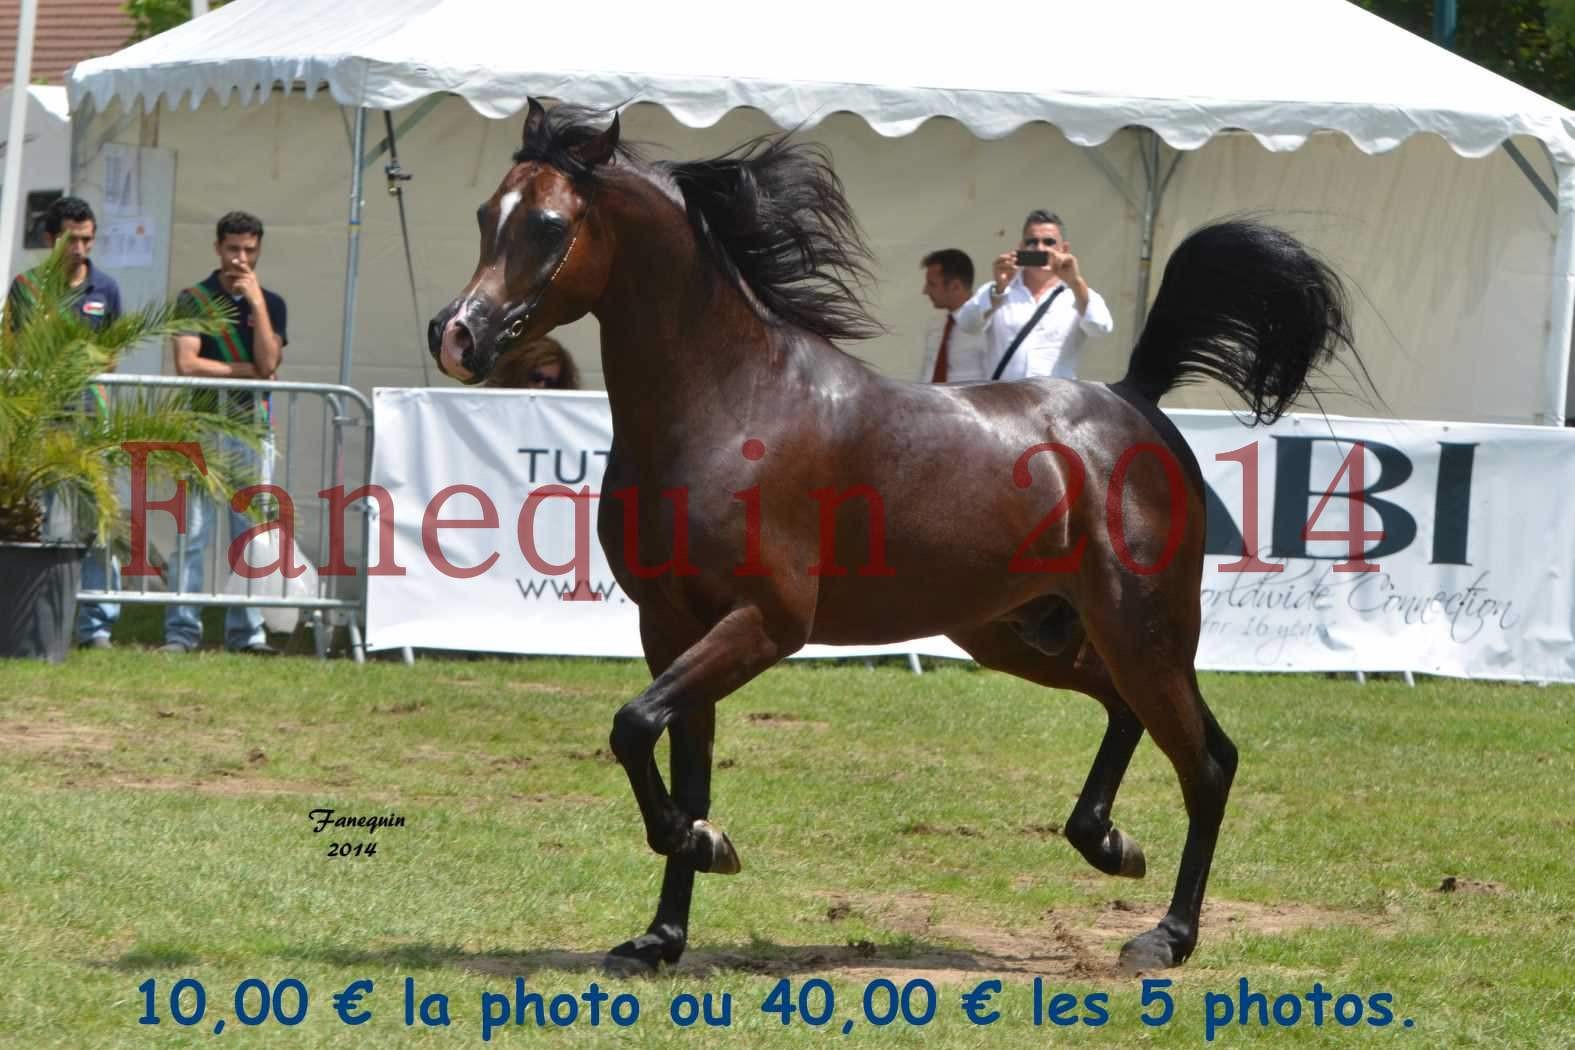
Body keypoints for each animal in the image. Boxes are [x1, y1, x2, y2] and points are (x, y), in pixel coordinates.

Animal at [431, 100, 1367, 976]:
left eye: (549, 224)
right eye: (483, 213)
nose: (458, 336)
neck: (730, 404)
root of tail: (1133, 397)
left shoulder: (764, 624)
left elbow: (633, 728)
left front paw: (707, 847)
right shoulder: (669, 627)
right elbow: (677, 760)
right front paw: (661, 936)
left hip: (1142, 627)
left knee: (1206, 762)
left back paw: (1165, 936)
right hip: (1023, 633)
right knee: (1129, 713)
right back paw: (1106, 843)